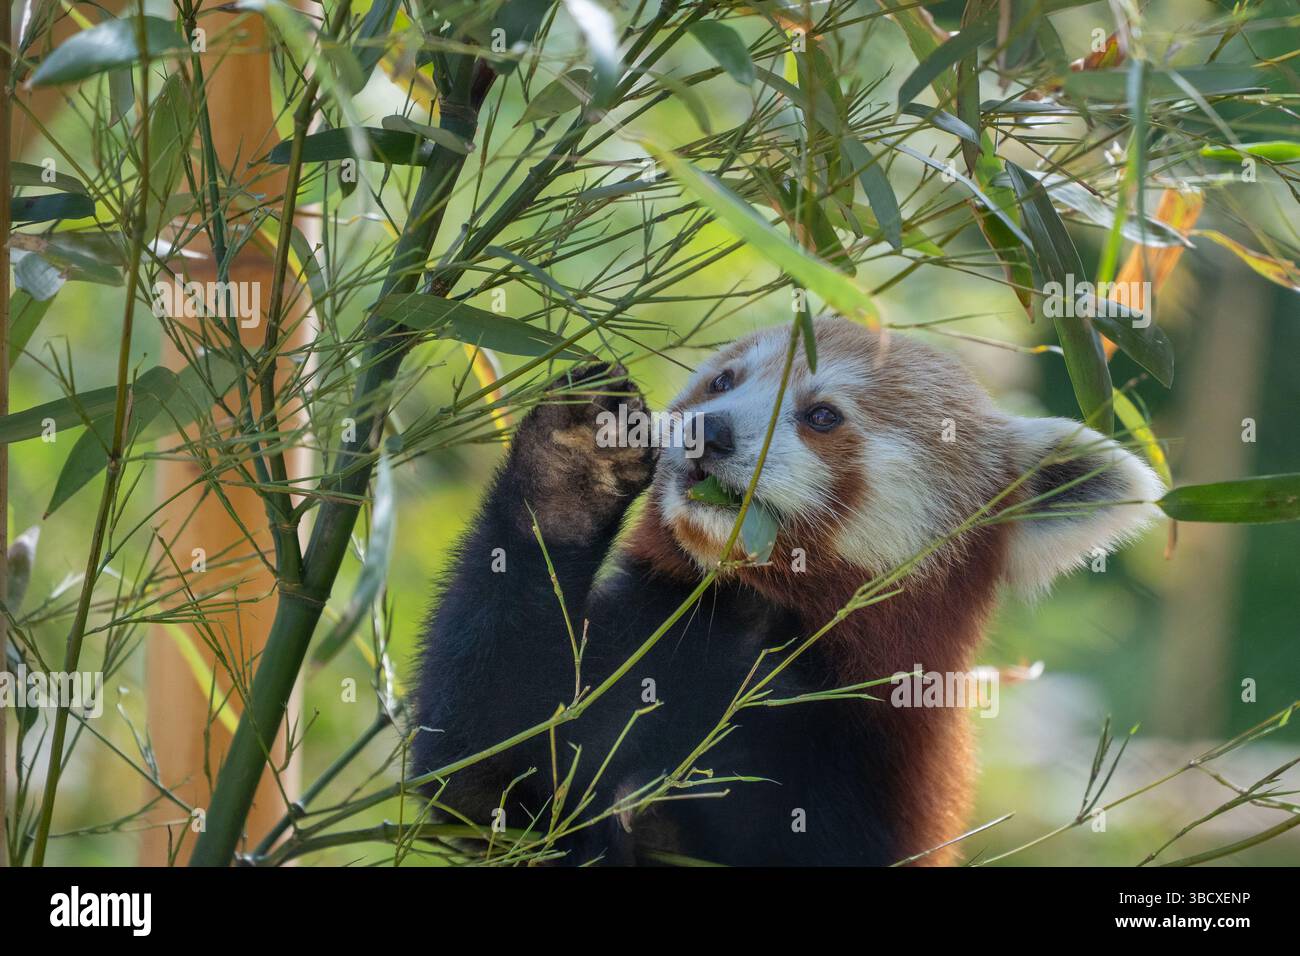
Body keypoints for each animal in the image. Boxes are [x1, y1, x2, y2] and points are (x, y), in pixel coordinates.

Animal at [411, 316, 1163, 865]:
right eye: (723, 380)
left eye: (821, 415)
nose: (707, 429)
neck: (758, 622)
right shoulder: (640, 642)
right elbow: (478, 776)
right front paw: (573, 462)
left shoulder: (878, 763)